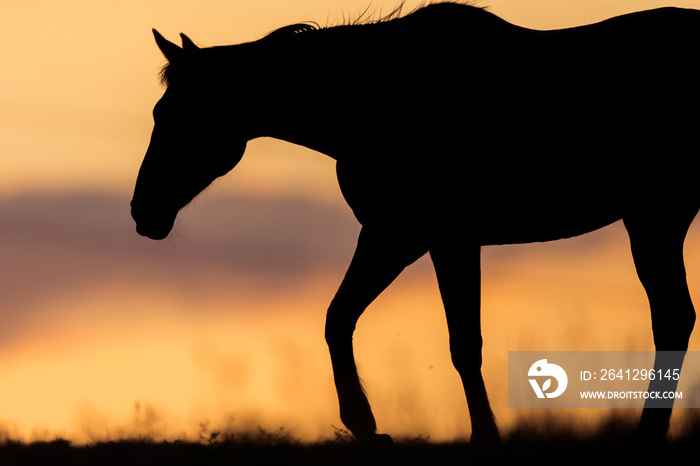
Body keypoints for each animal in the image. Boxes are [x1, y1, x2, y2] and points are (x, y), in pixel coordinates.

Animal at [133, 2, 700, 444]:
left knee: (672, 317)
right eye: (161, 112)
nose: (142, 212)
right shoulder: (395, 236)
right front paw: (365, 425)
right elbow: (339, 318)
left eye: (181, 116)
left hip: (655, 215)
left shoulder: (443, 237)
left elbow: (463, 344)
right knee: (674, 317)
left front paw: (480, 437)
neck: (377, 102)